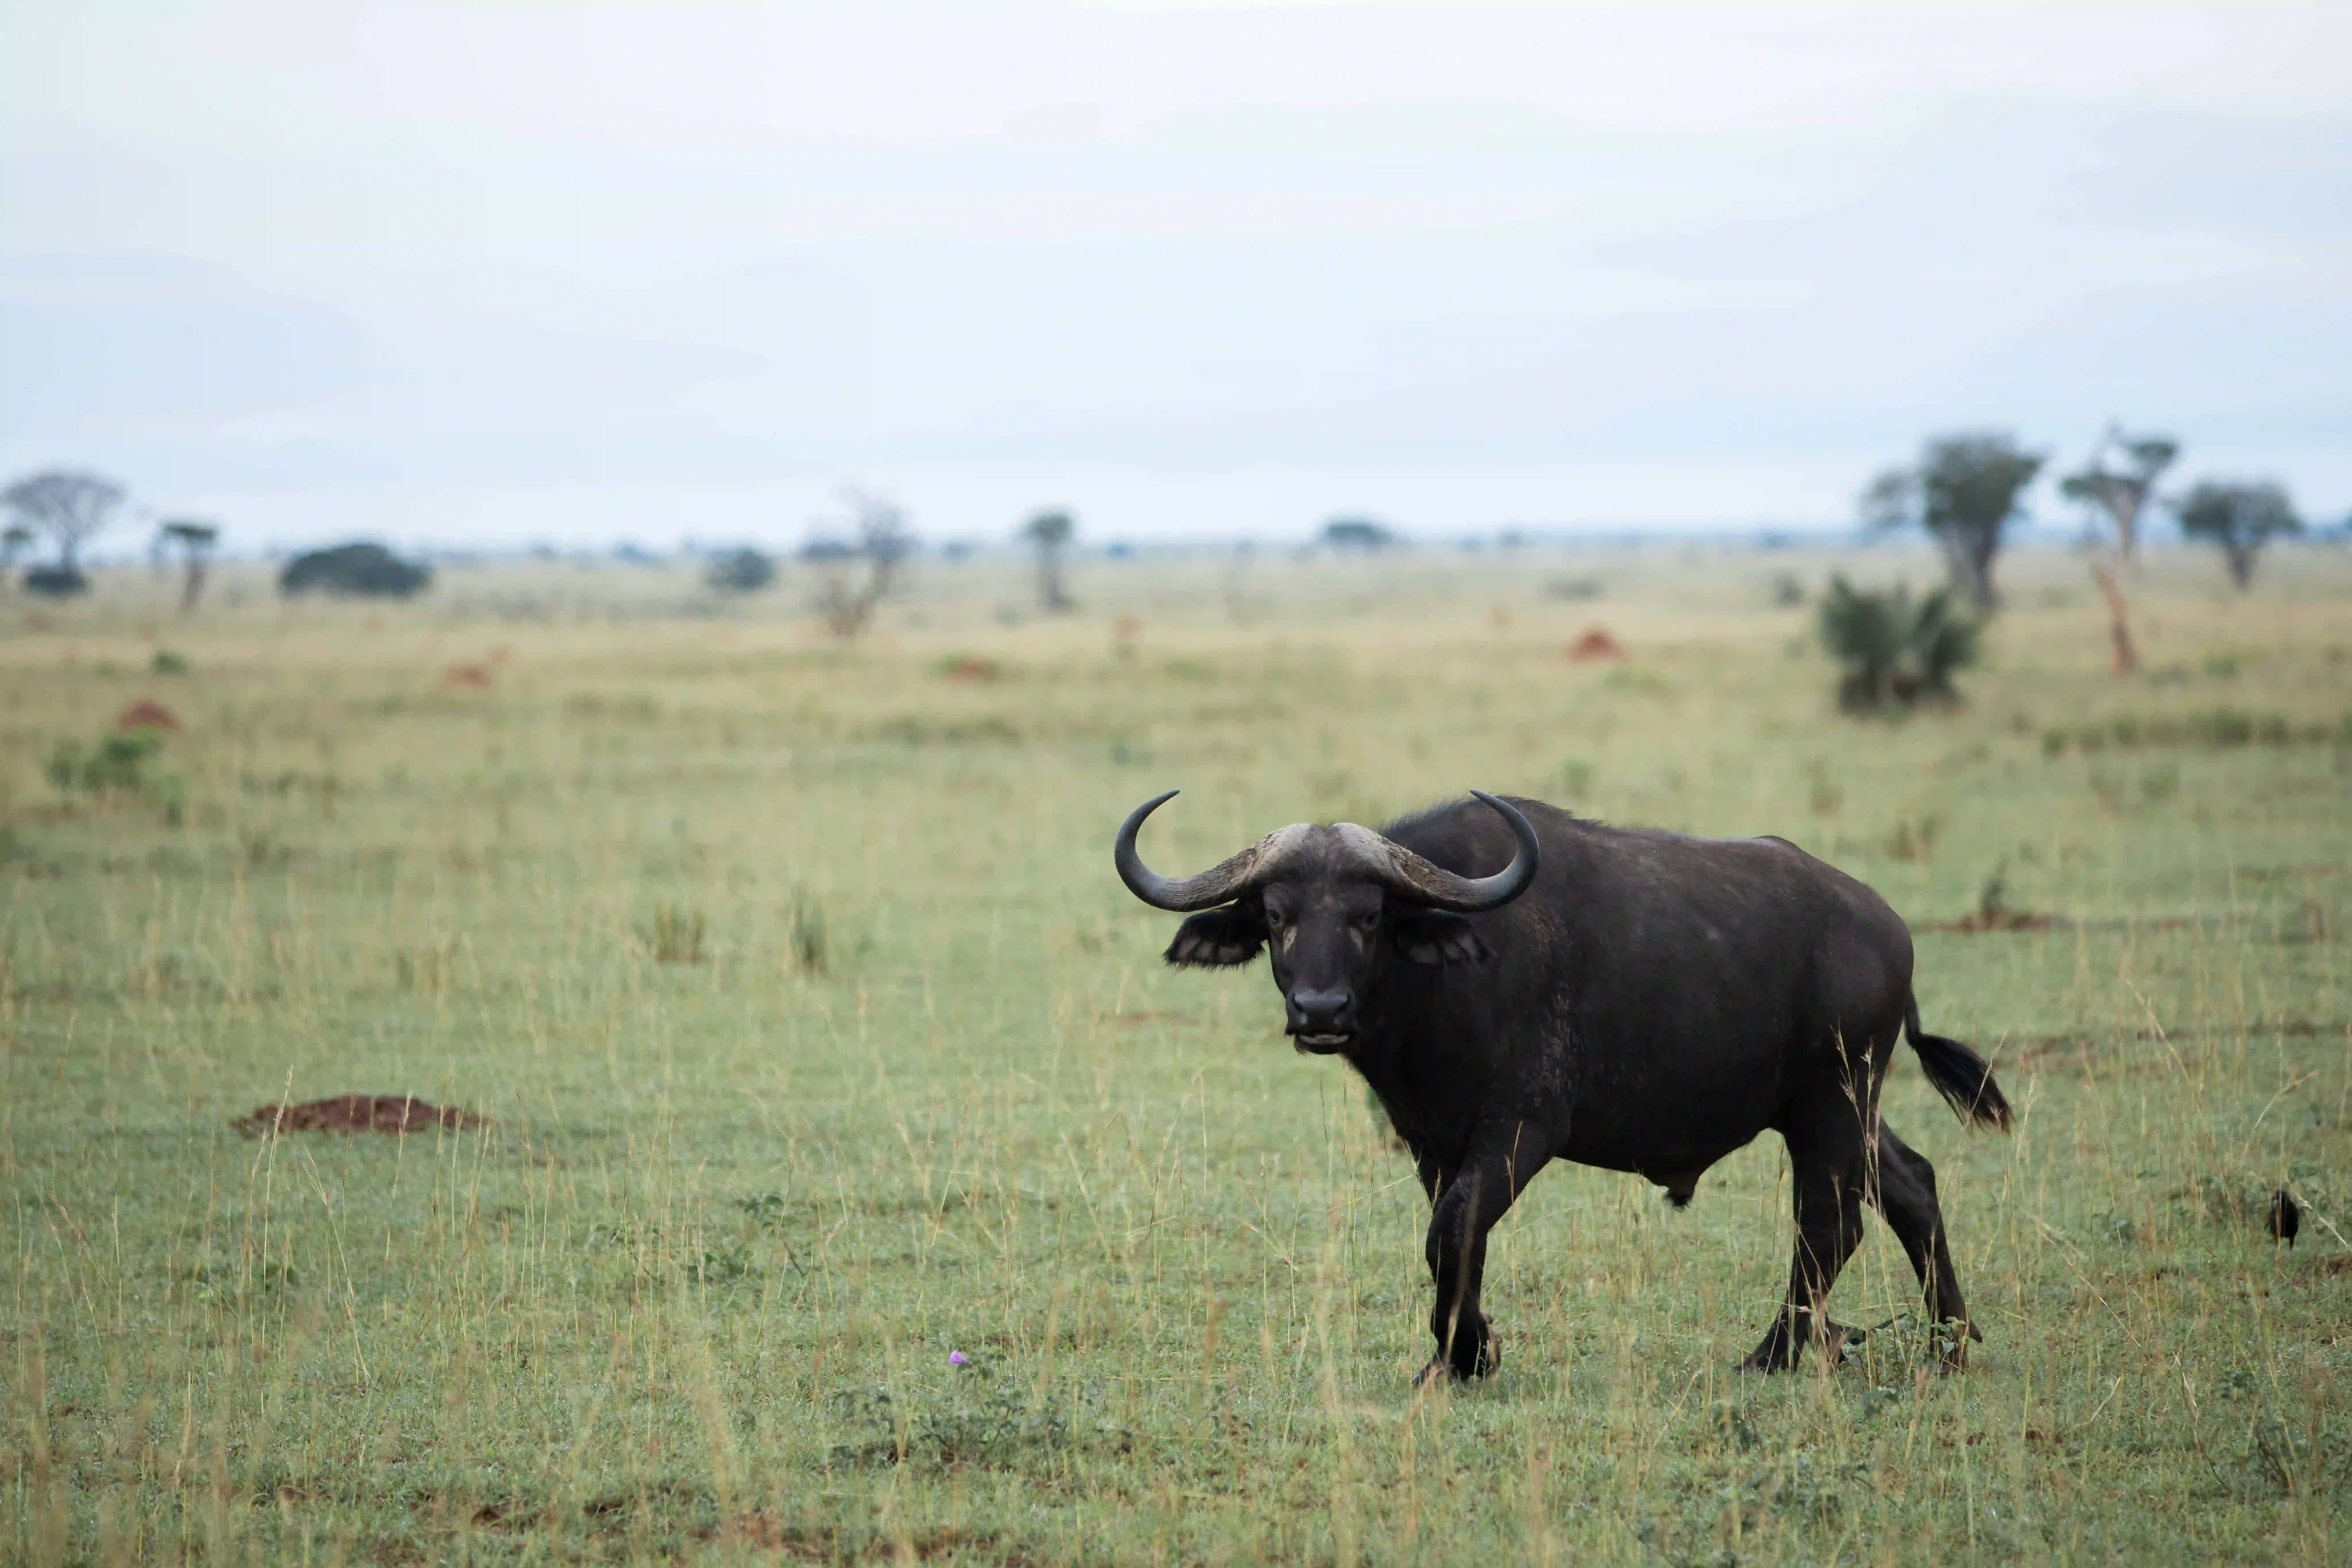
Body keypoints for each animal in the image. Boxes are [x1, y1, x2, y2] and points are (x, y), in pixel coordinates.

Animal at [1114, 789, 2010, 1384]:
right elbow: (1456, 1234)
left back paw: (1773, 1354)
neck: (1440, 986)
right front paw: (1466, 1351)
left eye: (1370, 915)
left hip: (1833, 1099)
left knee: (1829, 1223)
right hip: (1836, 1108)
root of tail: (1885, 926)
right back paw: (1950, 1341)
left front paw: (1461, 1356)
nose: (1321, 1011)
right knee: (1912, 1185)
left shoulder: (1523, 1127)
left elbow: (1453, 1228)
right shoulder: (1434, 1140)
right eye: (1275, 914)